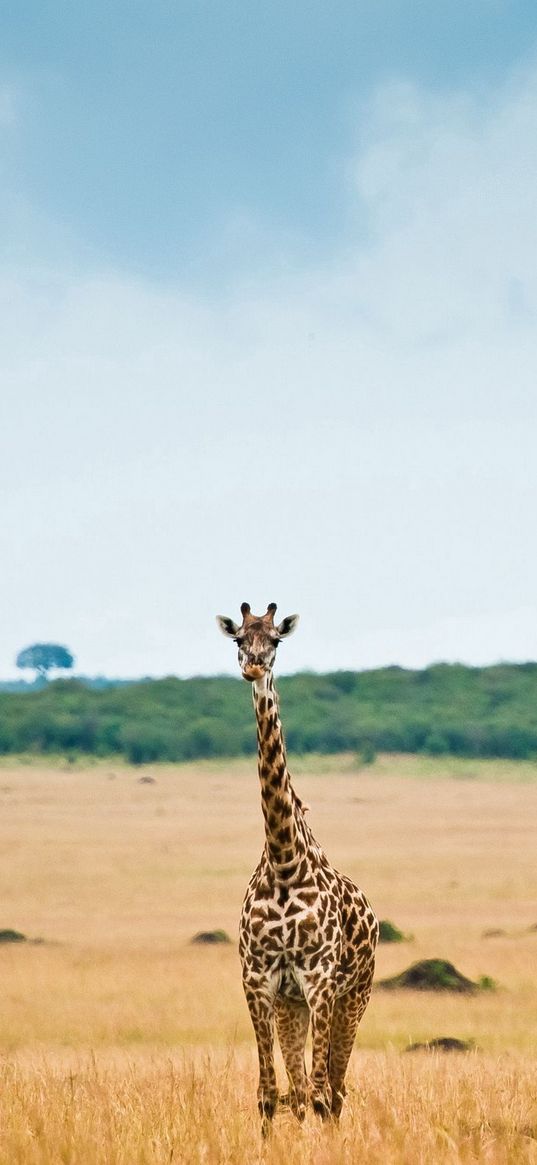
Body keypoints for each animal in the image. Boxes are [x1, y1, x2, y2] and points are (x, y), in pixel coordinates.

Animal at [215, 605, 379, 1132]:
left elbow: (323, 1090)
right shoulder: (259, 980)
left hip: (354, 997)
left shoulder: (320, 980)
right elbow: (270, 1093)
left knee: (335, 1089)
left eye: (277, 641)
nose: (253, 667)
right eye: (239, 639)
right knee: (303, 1088)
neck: (285, 860)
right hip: (294, 1006)